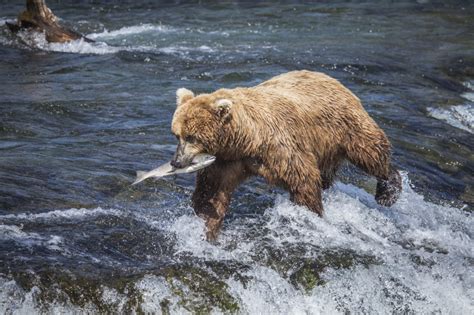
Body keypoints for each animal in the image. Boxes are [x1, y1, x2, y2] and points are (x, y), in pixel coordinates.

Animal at [170, 70, 400, 241]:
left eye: (192, 137)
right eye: (177, 135)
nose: (176, 161)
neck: (247, 139)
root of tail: (330, 78)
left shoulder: (280, 147)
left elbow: (304, 180)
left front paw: (311, 216)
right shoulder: (227, 160)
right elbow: (211, 192)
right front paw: (204, 229)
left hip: (345, 126)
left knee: (370, 152)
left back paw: (388, 191)